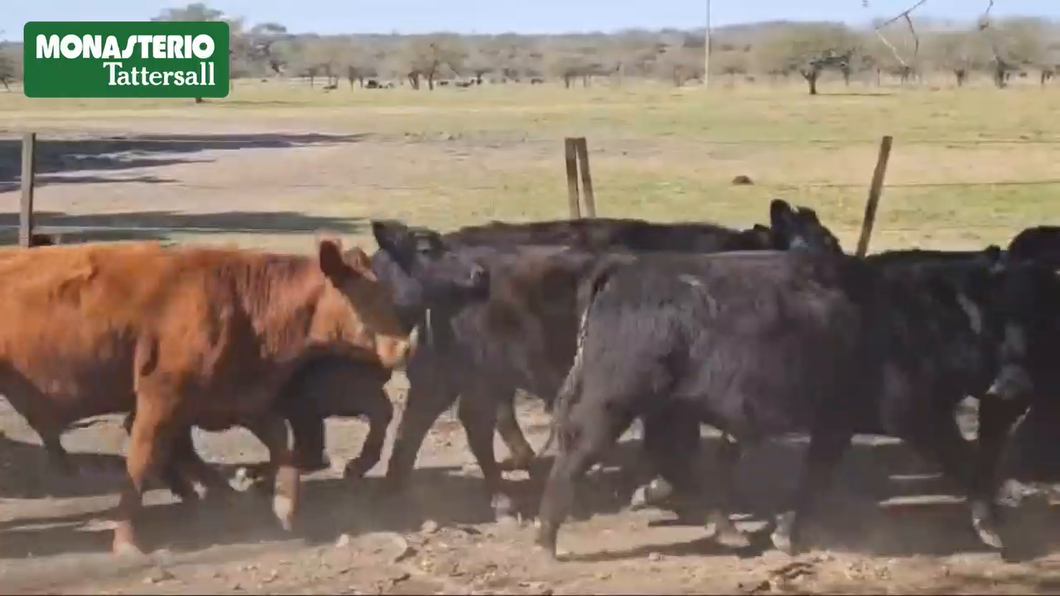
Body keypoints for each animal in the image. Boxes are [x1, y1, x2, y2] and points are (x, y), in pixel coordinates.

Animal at [0, 236, 413, 551]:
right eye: (368, 298)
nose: (406, 347)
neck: (240, 301)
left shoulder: (236, 396)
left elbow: (280, 444)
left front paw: (280, 504)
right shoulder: (159, 398)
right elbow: (142, 460)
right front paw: (126, 539)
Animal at [534, 246, 1013, 555]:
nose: (1006, 387)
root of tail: (625, 271)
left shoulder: (837, 423)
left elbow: (815, 475)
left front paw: (785, 532)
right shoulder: (918, 415)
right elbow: (965, 460)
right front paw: (992, 529)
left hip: (665, 408)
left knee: (672, 458)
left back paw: (728, 531)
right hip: (613, 403)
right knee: (578, 454)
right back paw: (546, 538)